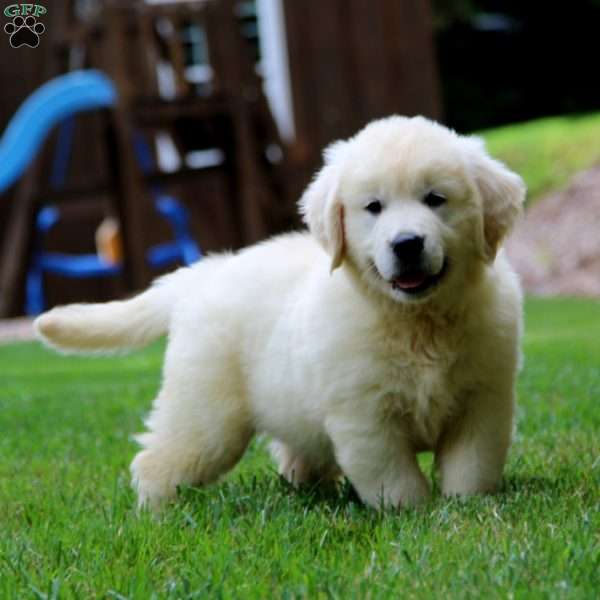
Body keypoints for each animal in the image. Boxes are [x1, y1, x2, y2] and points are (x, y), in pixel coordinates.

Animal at [36, 115, 524, 508]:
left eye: (435, 199)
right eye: (374, 207)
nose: (406, 244)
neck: (416, 321)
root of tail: (201, 275)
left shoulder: (483, 400)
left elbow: (471, 466)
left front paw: (466, 509)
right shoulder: (365, 416)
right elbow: (394, 477)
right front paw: (413, 514)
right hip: (206, 414)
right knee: (158, 460)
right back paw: (156, 514)